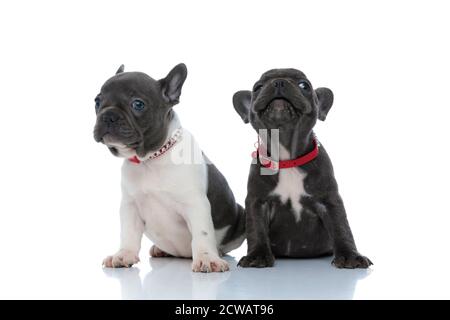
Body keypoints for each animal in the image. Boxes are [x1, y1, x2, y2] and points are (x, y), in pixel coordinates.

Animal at [232, 69, 372, 268]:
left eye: (304, 85)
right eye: (257, 87)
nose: (279, 82)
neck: (288, 159)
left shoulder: (330, 200)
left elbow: (341, 226)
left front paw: (350, 256)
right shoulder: (257, 202)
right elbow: (256, 228)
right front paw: (257, 255)